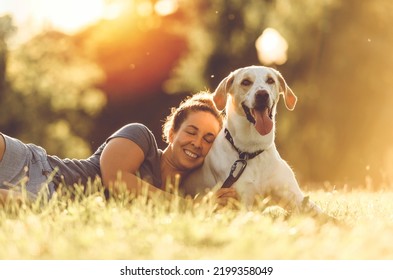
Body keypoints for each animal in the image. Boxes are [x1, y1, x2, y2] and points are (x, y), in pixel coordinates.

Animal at [181, 65, 322, 214]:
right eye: (246, 82)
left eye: (270, 80)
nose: (262, 94)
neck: (252, 150)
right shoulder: (244, 202)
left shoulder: (296, 197)